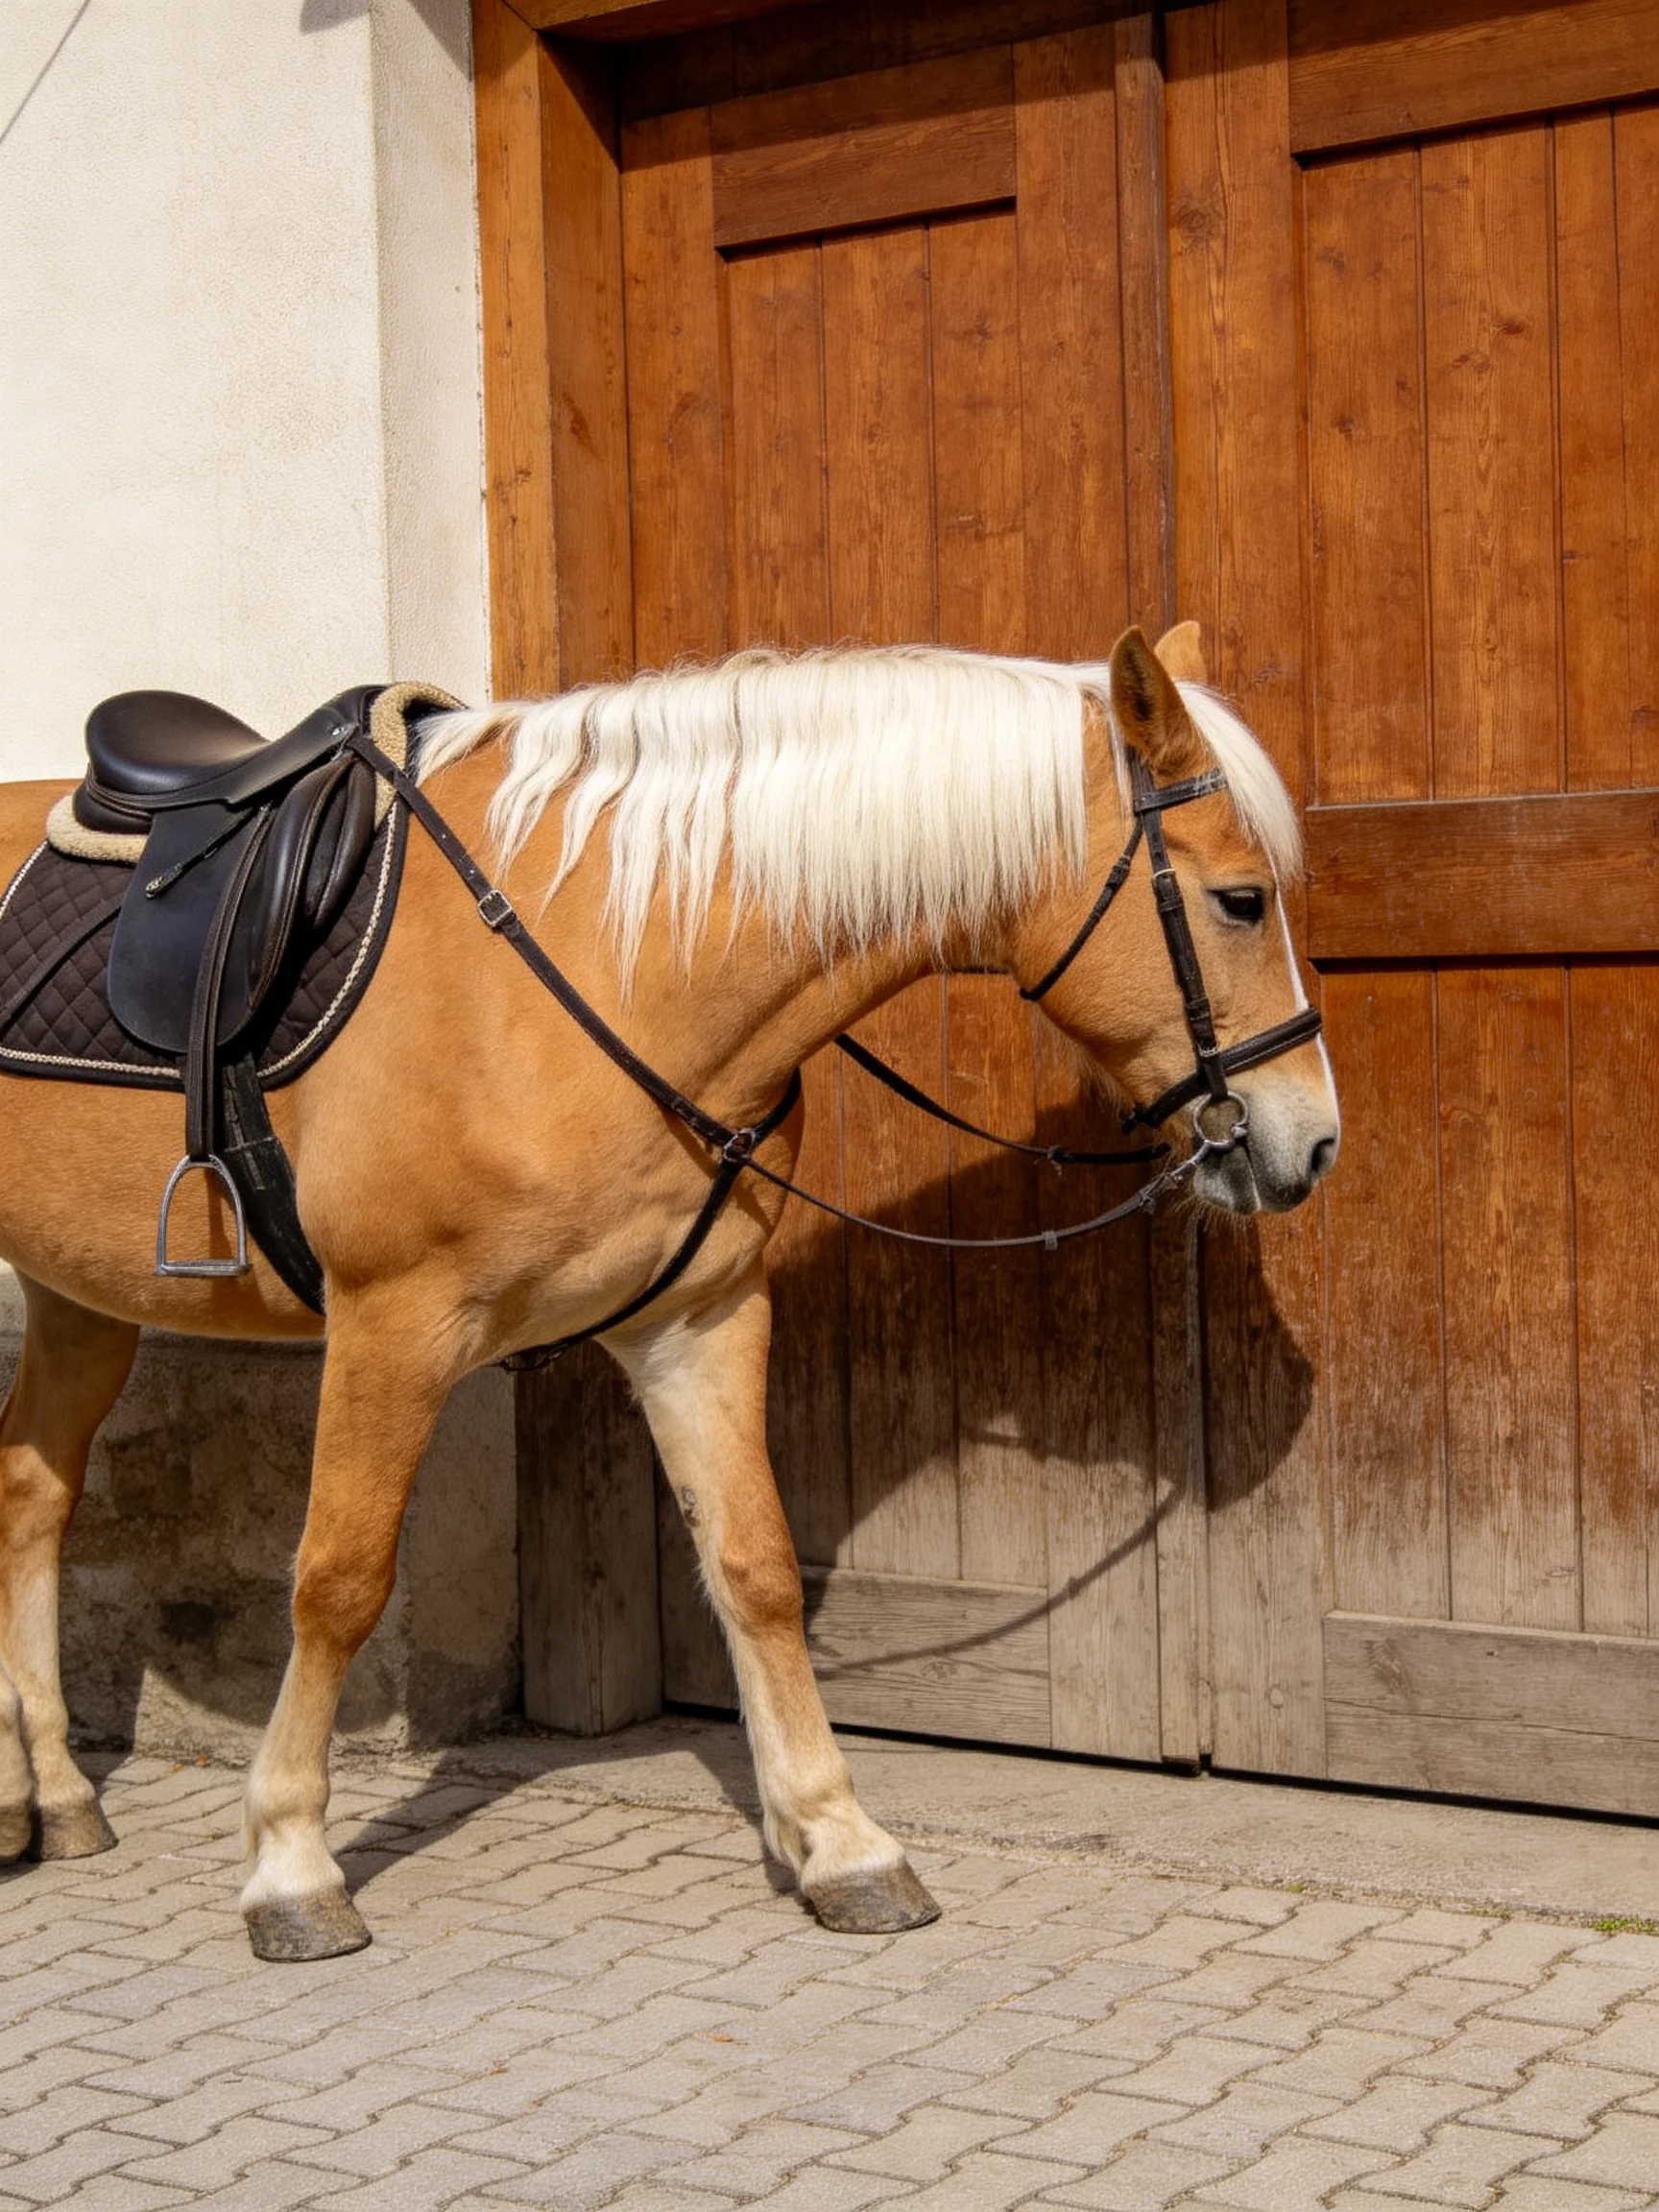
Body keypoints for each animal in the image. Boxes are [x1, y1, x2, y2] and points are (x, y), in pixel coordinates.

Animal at [0, 622, 1339, 1961]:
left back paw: (50, 1795)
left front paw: (839, 1841)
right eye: (1239, 899)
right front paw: (288, 1862)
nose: (1311, 1143)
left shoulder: (697, 1323)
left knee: (29, 1497)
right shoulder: (394, 1323)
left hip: (78, 1295)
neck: (605, 962)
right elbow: (338, 1579)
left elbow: (756, 1568)